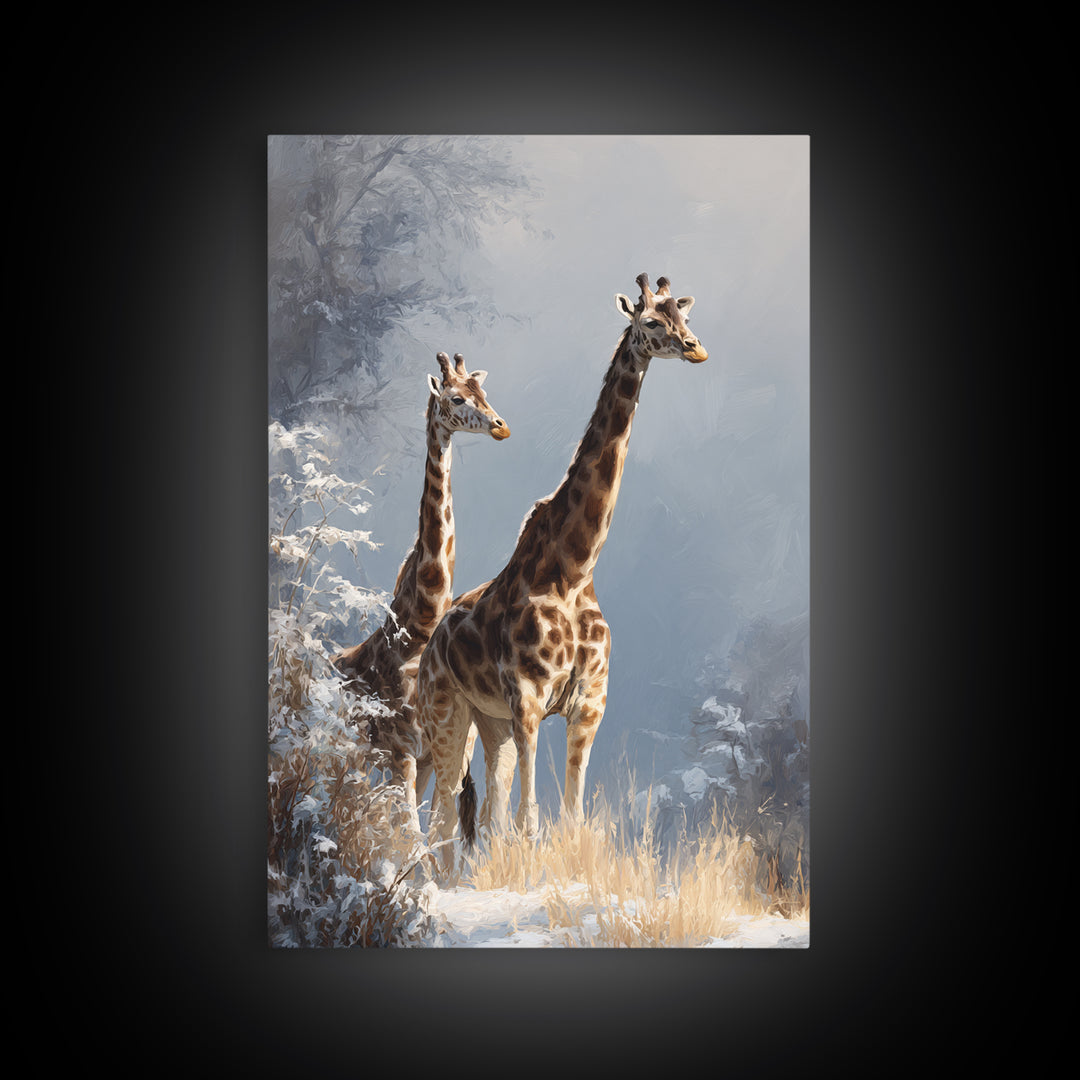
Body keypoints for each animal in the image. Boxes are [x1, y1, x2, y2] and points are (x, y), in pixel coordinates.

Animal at [332, 351, 509, 827]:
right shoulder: (401, 752)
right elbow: (410, 830)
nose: (500, 425)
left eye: (484, 391)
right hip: (352, 753)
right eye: (456, 397)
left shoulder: (441, 750)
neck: (418, 628)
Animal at [417, 273, 707, 863]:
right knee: (441, 818)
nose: (695, 348)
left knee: (482, 813)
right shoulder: (528, 699)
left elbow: (568, 818)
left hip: (492, 725)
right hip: (447, 714)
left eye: (685, 317)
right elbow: (530, 821)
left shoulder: (588, 704)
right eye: (651, 321)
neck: (572, 567)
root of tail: (433, 642)